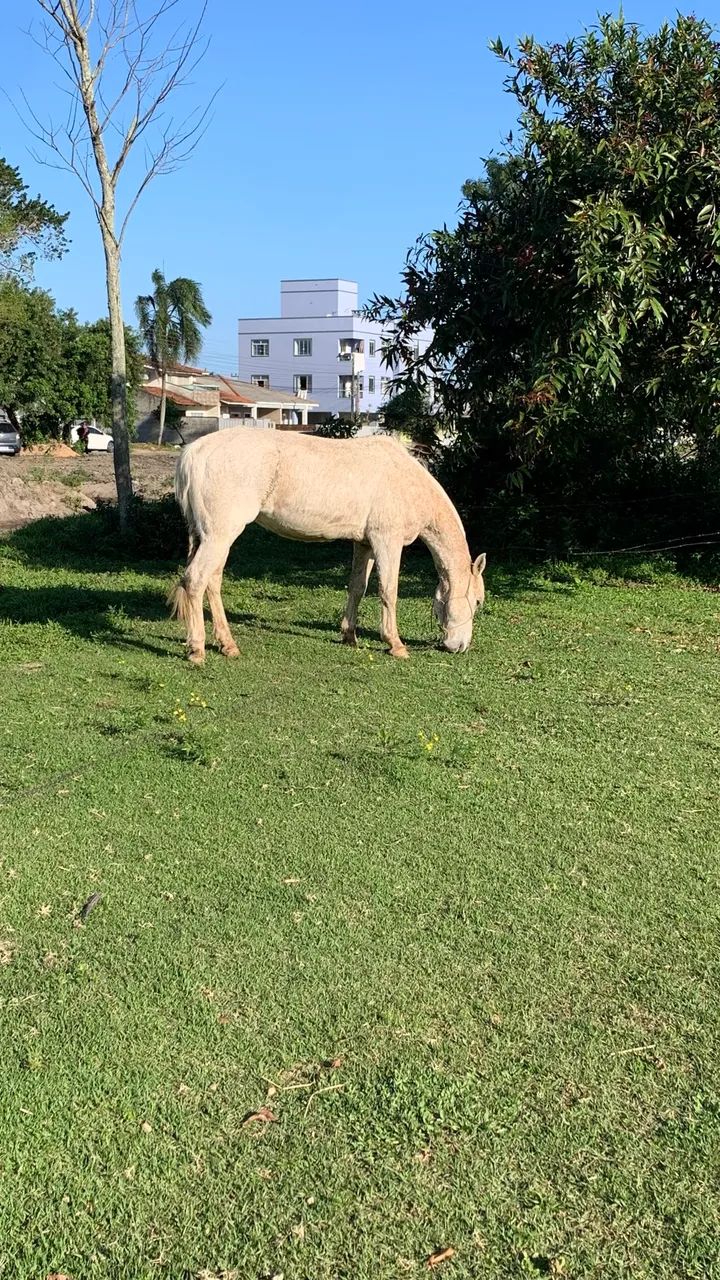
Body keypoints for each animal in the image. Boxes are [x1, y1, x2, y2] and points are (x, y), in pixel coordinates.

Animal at [168, 428, 486, 663]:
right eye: (479, 601)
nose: (459, 646)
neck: (406, 481)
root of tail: (195, 451)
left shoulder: (365, 544)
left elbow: (358, 587)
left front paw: (349, 636)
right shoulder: (388, 541)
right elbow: (389, 591)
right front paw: (395, 644)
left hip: (213, 538)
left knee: (212, 581)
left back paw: (228, 644)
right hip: (220, 535)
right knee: (195, 580)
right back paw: (197, 649)